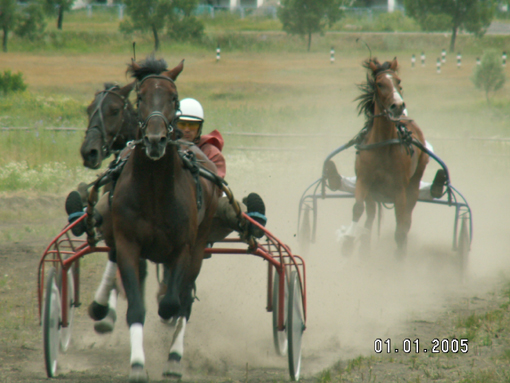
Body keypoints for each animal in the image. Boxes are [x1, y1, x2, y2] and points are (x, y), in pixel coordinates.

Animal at [105, 57, 219, 383]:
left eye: (173, 97)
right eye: (140, 97)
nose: (156, 140)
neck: (155, 190)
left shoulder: (183, 248)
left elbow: (172, 304)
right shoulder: (128, 245)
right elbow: (136, 307)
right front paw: (137, 364)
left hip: (199, 246)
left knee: (183, 302)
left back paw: (174, 358)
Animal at [340, 57, 428, 258]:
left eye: (399, 82)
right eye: (380, 84)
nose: (398, 106)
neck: (382, 146)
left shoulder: (399, 189)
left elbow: (400, 227)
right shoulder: (364, 180)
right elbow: (358, 208)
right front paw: (349, 239)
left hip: (414, 182)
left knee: (406, 219)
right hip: (373, 194)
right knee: (370, 216)